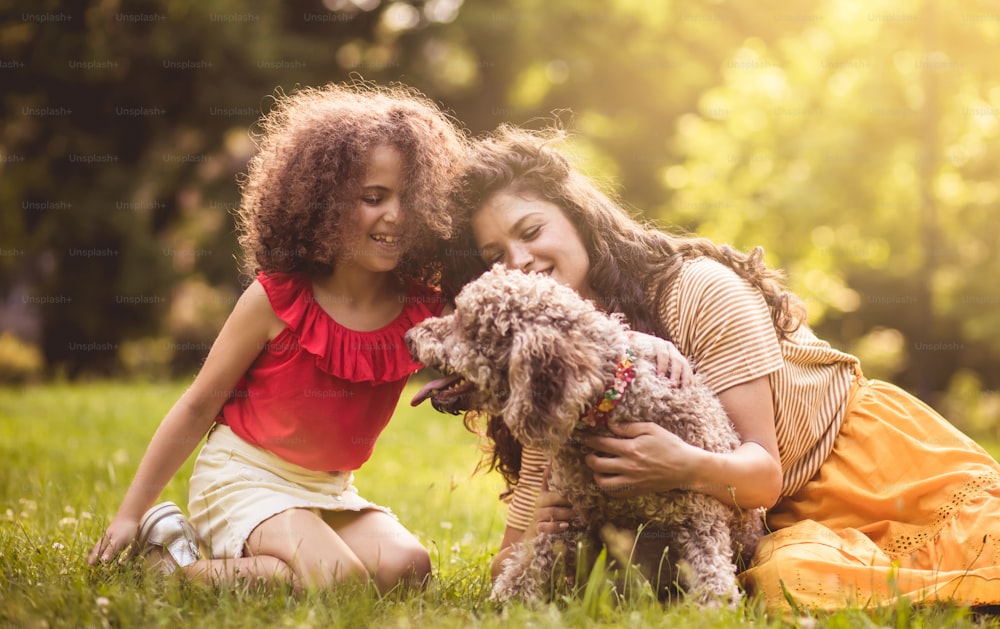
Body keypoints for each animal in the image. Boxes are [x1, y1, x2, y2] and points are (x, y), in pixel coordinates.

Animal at [406, 264, 764, 604]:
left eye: (465, 323)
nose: (409, 337)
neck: (611, 404)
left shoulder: (700, 515)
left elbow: (712, 575)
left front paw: (717, 609)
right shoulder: (568, 511)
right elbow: (529, 561)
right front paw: (506, 603)